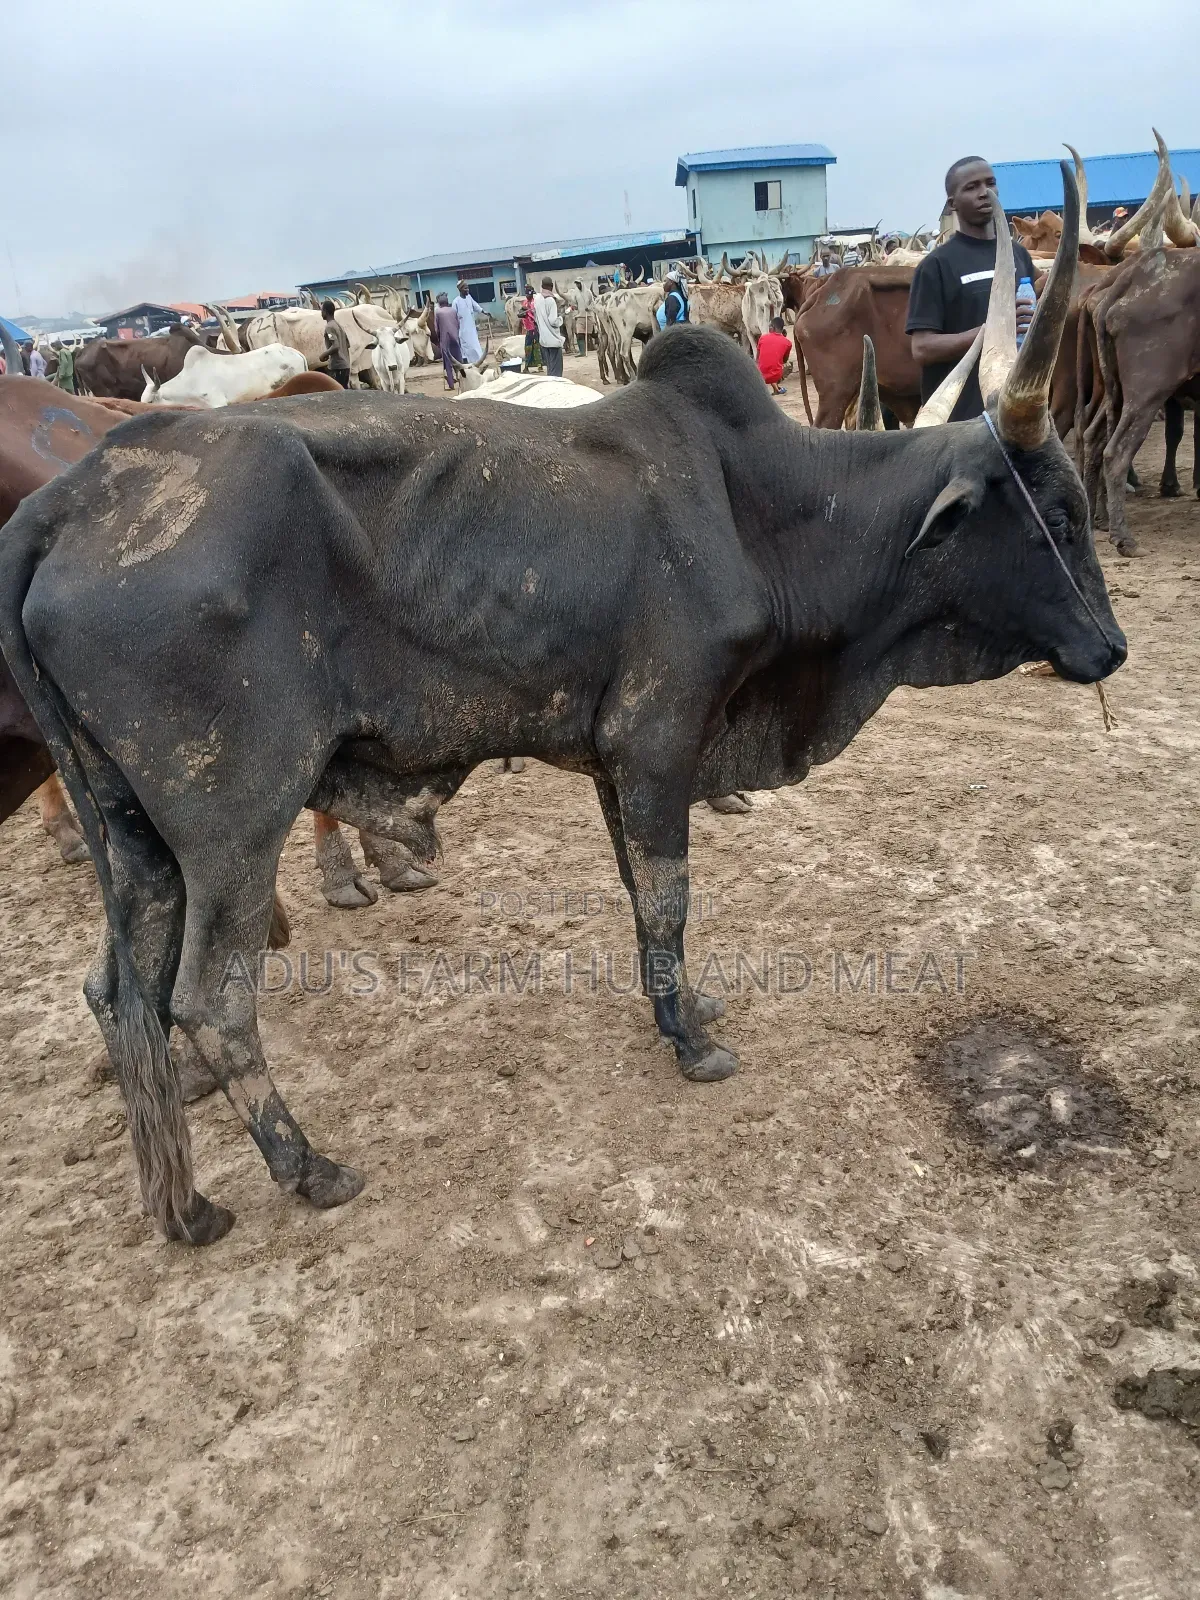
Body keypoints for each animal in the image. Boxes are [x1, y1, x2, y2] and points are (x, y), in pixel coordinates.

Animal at [0, 165, 1126, 1246]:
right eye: (1058, 515)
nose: (1112, 647)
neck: (757, 507)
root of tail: (71, 500)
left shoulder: (615, 760)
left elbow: (639, 894)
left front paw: (683, 1006)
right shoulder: (661, 738)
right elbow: (669, 897)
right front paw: (694, 1043)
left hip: (133, 832)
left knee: (120, 993)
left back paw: (184, 1206)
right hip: (233, 823)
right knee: (209, 1000)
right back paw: (307, 1166)